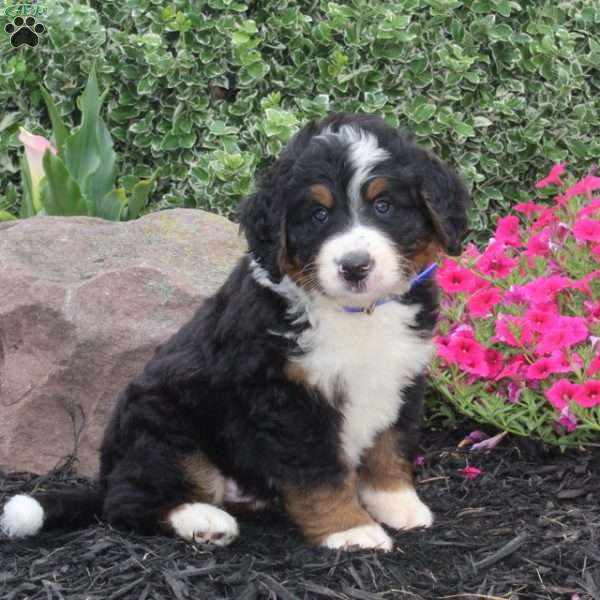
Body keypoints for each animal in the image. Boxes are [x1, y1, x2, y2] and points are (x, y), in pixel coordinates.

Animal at [1, 110, 468, 552]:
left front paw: (398, 504)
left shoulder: (400, 376)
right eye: (318, 214)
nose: (354, 266)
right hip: (161, 422)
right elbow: (321, 473)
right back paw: (205, 521)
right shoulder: (286, 398)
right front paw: (351, 531)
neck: (356, 315)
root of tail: (106, 476)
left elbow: (391, 445)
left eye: (384, 206)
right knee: (127, 503)